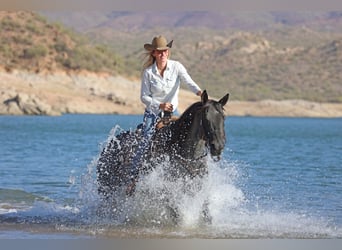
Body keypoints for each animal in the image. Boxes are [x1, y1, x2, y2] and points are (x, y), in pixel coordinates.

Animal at [97, 90, 230, 223]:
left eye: (224, 117)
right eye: (206, 117)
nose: (218, 146)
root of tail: (109, 146)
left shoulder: (197, 186)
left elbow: (205, 210)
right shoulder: (165, 188)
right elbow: (175, 210)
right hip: (107, 188)